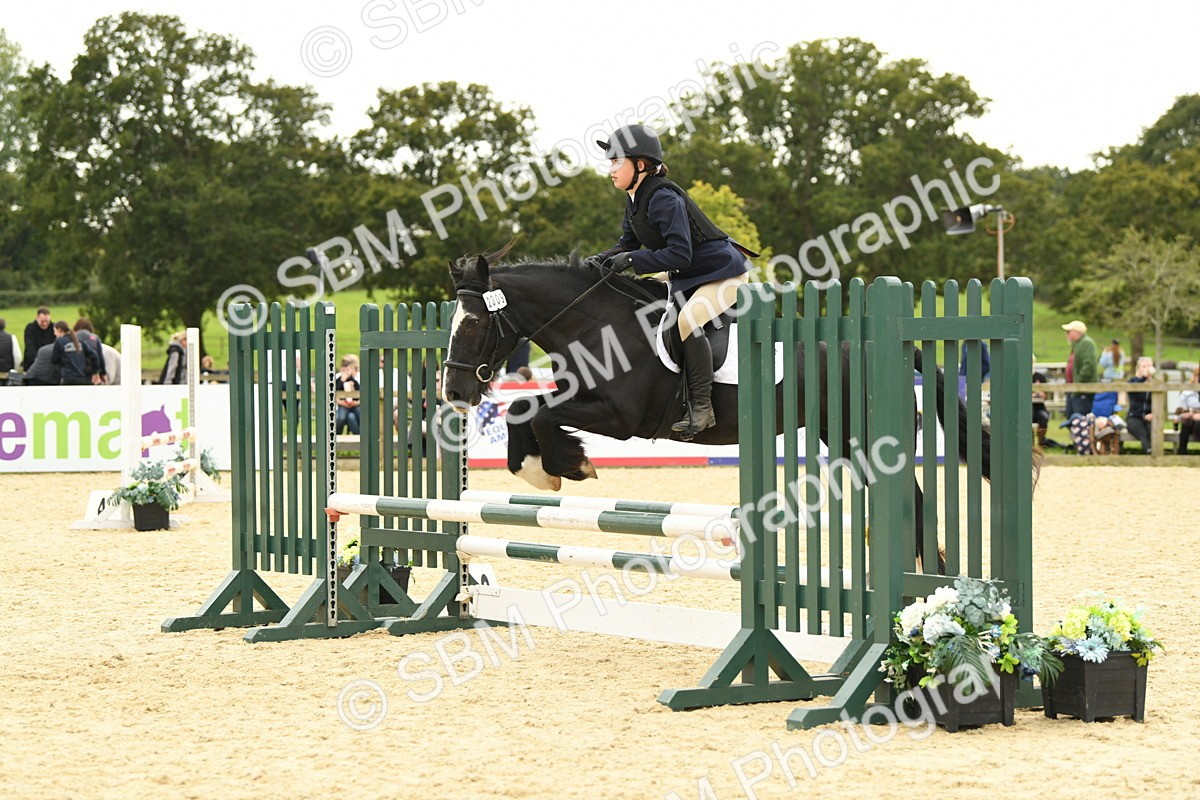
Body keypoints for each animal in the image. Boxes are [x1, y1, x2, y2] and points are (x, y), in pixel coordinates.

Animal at [441, 248, 1003, 569]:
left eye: (474, 324)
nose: (454, 393)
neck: (594, 322)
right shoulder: (580, 396)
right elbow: (525, 410)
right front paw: (541, 470)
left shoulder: (621, 418)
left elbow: (538, 413)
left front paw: (568, 465)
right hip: (840, 436)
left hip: (862, 437)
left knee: (915, 501)